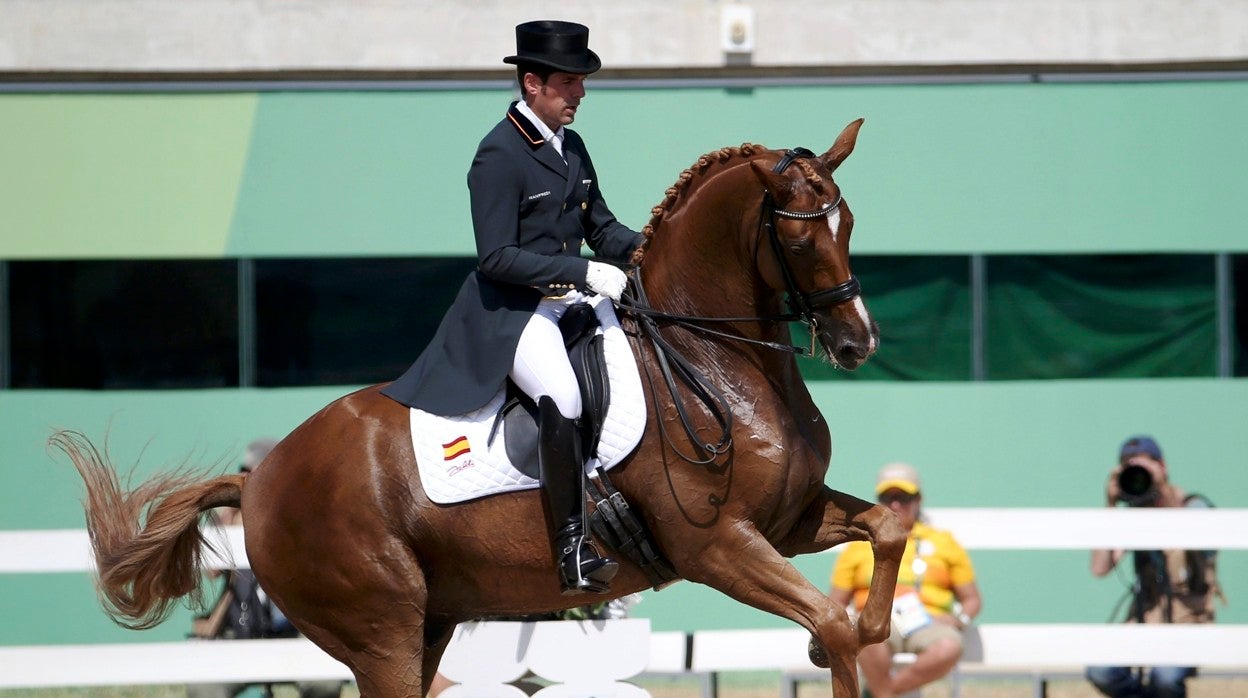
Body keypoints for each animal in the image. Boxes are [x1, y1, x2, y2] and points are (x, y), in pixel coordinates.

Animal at [56, 119, 908, 698]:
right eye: (800, 239)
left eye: (850, 222)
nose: (857, 341)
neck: (706, 358)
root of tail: (258, 482)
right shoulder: (720, 545)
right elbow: (833, 625)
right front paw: (830, 648)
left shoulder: (786, 522)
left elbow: (884, 540)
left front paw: (856, 637)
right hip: (383, 631)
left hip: (428, 622)